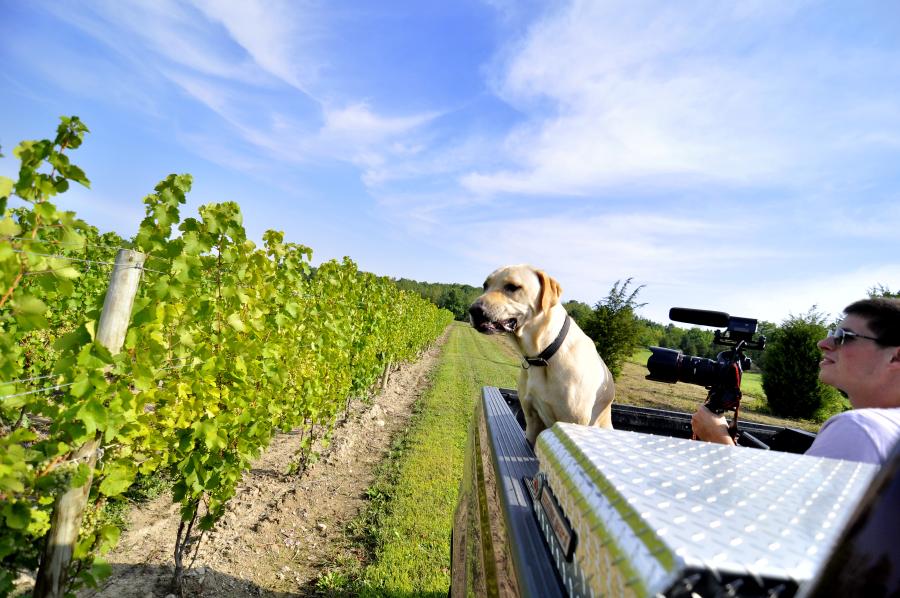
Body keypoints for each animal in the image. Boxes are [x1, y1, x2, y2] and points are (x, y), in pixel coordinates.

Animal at [472, 266, 612, 446]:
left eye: (512, 287)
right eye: (485, 286)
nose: (473, 310)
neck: (542, 355)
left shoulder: (573, 421)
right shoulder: (531, 419)